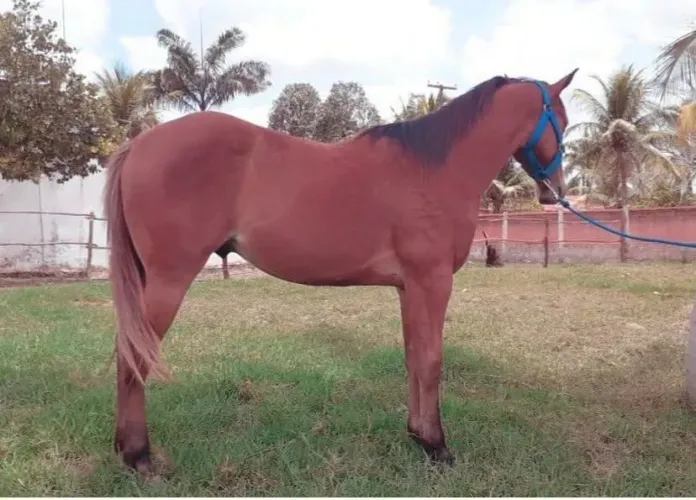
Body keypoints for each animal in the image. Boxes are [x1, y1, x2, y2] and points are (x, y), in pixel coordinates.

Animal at [103, 69, 578, 478]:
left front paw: (416, 436)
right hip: (168, 281)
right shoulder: (433, 281)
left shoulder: (409, 288)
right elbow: (431, 360)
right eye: (563, 122)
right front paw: (438, 447)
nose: (554, 192)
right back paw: (139, 457)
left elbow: (413, 357)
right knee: (135, 357)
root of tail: (139, 144)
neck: (434, 168)